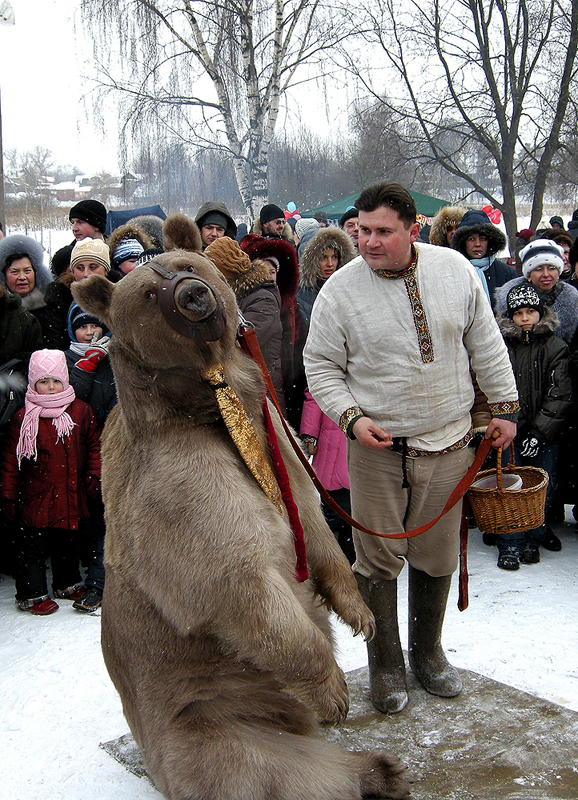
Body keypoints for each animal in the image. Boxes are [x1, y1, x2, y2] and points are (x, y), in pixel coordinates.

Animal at [71, 216, 410, 800]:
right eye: (148, 292)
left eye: (188, 264)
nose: (193, 295)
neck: (213, 408)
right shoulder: (180, 490)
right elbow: (239, 583)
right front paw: (333, 688)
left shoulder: (273, 434)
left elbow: (312, 521)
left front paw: (361, 613)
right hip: (210, 714)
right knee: (274, 768)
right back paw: (374, 770)